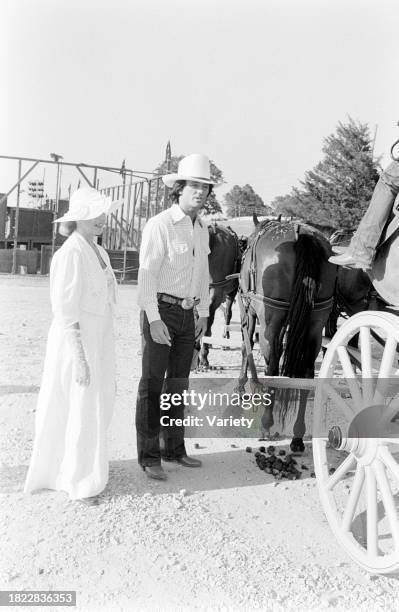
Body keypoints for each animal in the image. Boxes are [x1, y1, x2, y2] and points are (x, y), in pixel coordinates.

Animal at [238, 215, 338, 450]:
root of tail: (303, 236)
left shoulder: (249, 312)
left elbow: (246, 346)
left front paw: (241, 386)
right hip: (315, 325)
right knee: (306, 375)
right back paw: (298, 435)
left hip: (271, 322)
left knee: (273, 366)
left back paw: (267, 423)